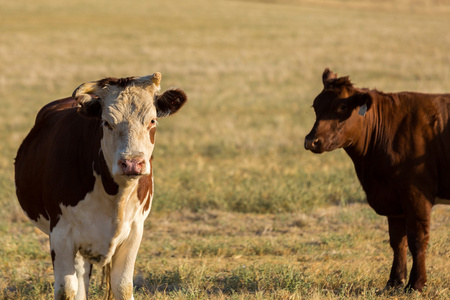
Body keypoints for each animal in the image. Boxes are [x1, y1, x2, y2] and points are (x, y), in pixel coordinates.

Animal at [14, 73, 186, 300]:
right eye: (107, 122)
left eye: (152, 120)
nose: (132, 163)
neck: (115, 196)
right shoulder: (61, 235)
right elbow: (66, 290)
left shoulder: (134, 232)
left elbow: (123, 286)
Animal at [304, 69, 448, 292]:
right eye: (315, 105)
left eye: (343, 106)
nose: (311, 141)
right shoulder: (393, 200)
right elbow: (397, 241)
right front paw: (394, 282)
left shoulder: (417, 193)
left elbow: (417, 239)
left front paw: (416, 283)